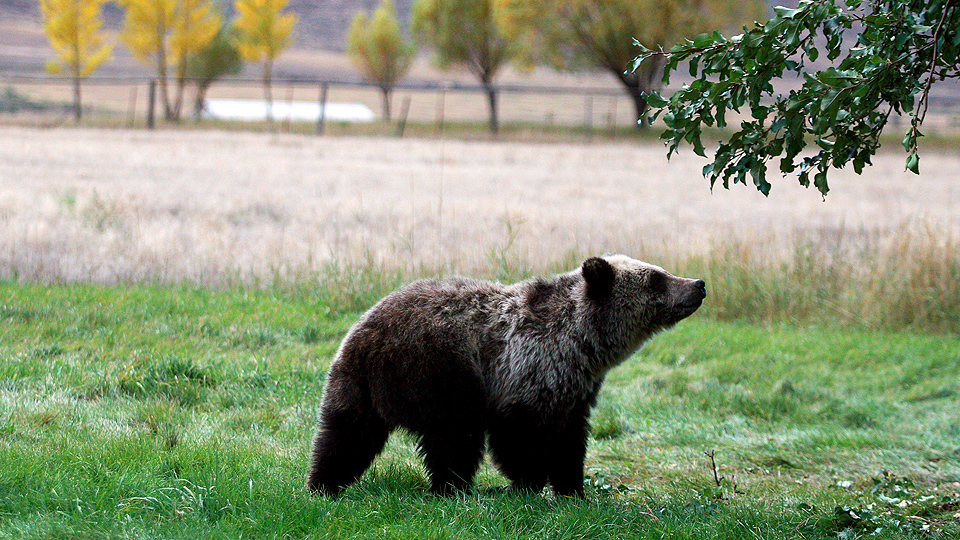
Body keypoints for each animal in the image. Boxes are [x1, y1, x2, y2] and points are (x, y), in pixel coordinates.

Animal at [308, 255, 704, 496]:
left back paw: (323, 485)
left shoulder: (576, 390)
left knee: (345, 434)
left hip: (354, 384)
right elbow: (518, 435)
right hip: (441, 368)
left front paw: (572, 489)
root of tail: (367, 334)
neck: (584, 343)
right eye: (656, 278)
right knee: (455, 435)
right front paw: (528, 482)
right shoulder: (527, 369)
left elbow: (570, 440)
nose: (698, 284)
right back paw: (453, 488)